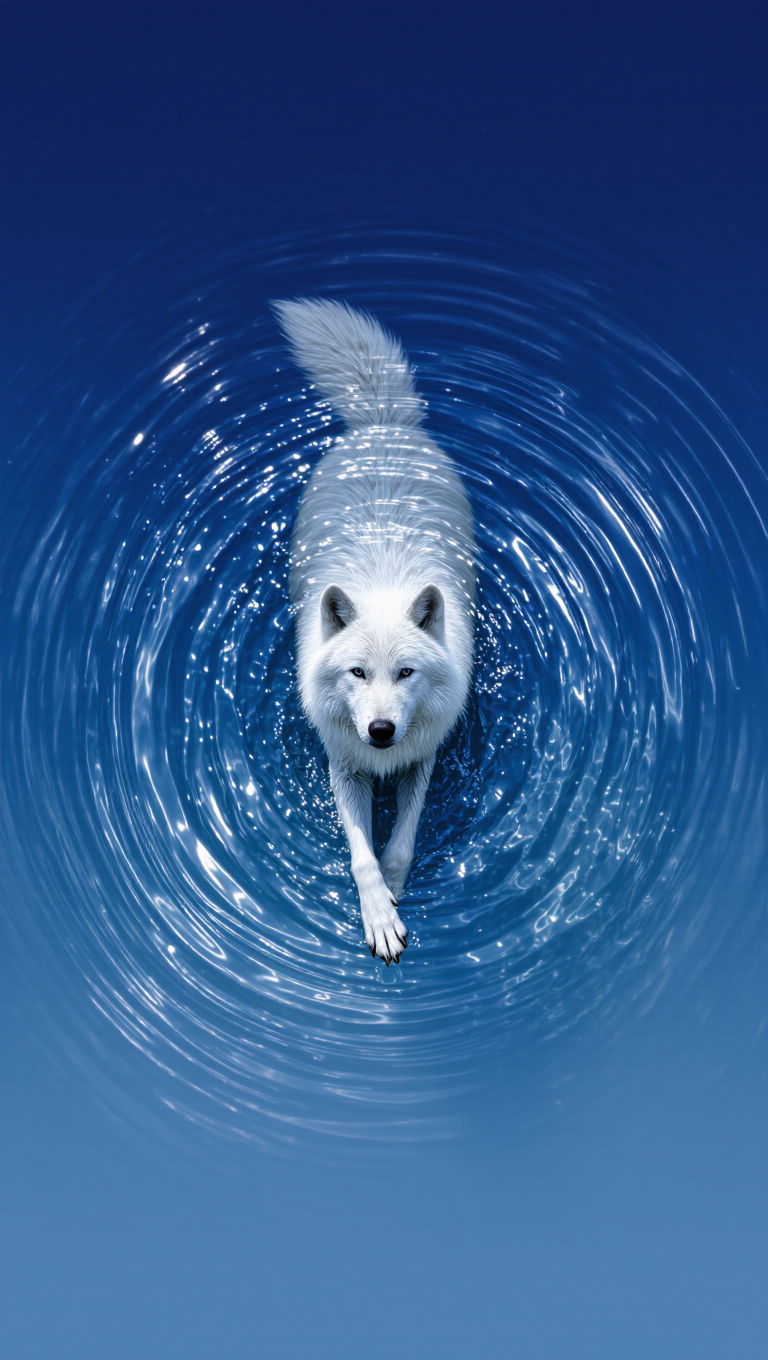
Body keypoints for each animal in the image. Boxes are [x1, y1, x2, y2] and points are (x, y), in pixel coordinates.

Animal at [274, 299, 476, 963]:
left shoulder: (423, 756)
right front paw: (378, 912)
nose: (382, 731)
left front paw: (393, 887)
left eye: (405, 672)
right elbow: (360, 855)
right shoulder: (344, 761)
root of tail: (382, 421)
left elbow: (403, 841)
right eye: (357, 672)